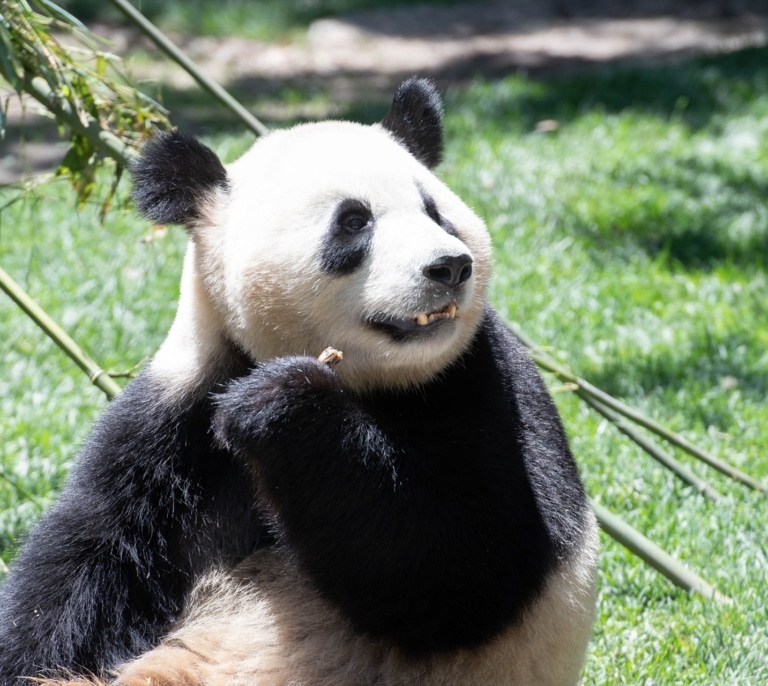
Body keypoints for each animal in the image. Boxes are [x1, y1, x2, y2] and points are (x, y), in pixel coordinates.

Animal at [0, 78, 597, 686]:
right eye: (354, 221)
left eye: (436, 213)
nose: (450, 266)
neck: (372, 381)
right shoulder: (177, 413)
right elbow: (92, 558)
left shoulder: (478, 383)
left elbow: (465, 565)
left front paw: (280, 404)